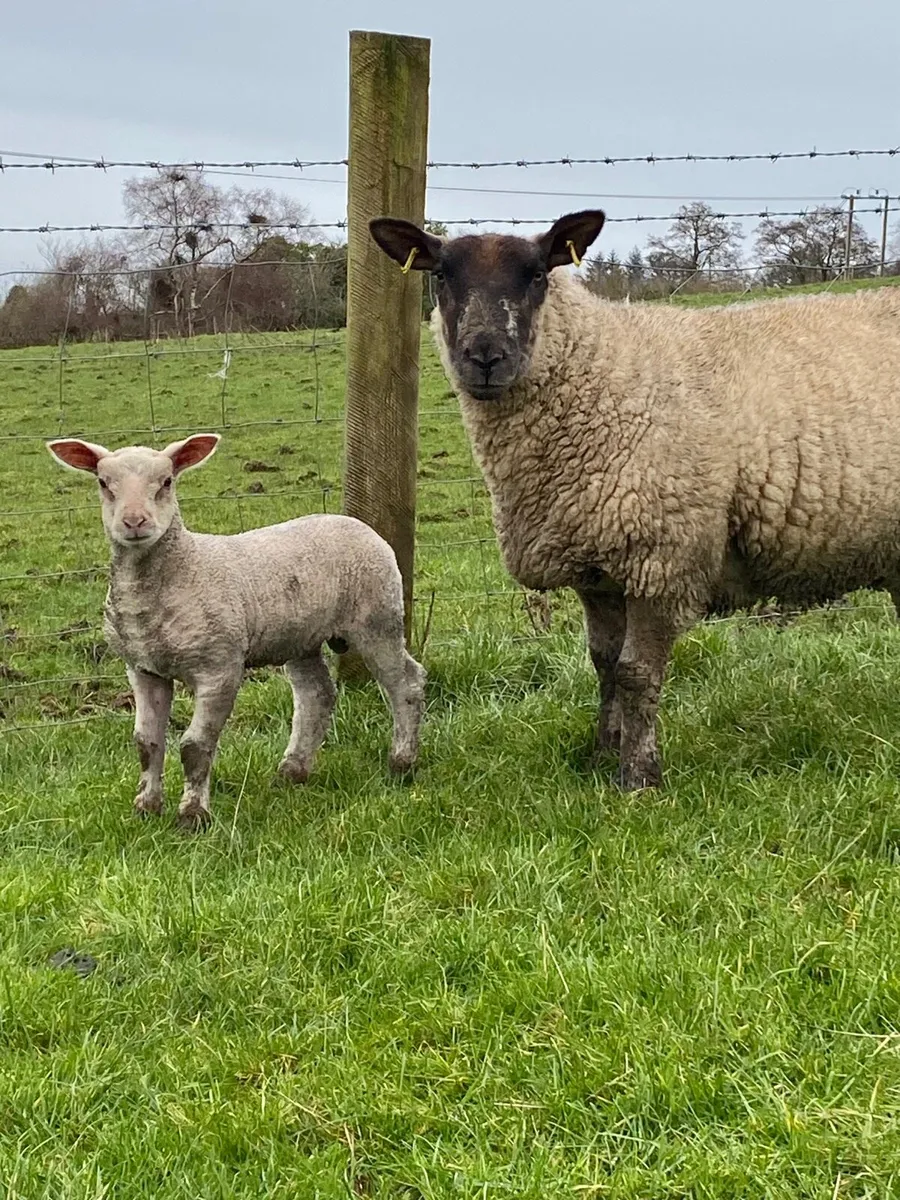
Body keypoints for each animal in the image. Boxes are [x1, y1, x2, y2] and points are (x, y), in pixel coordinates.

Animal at [46, 434, 426, 829]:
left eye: (166, 482)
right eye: (104, 484)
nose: (135, 522)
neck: (184, 567)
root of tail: (357, 524)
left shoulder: (219, 668)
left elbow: (195, 747)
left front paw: (193, 816)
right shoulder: (143, 669)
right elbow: (146, 743)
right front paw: (146, 808)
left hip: (378, 617)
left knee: (405, 683)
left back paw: (402, 762)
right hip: (298, 636)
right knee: (316, 694)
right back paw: (292, 771)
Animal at [369, 209, 900, 792]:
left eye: (538, 275)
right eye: (441, 275)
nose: (485, 357)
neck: (599, 372)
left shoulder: (662, 556)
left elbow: (635, 673)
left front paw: (638, 776)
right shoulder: (596, 568)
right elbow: (603, 664)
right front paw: (602, 753)